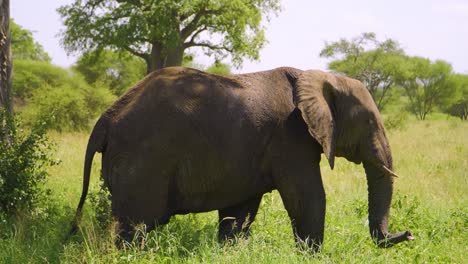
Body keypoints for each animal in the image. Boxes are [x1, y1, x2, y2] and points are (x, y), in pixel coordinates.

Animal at [71, 66, 414, 250]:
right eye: (369, 121)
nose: (409, 234)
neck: (316, 76)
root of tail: (107, 117)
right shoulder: (291, 138)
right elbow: (308, 199)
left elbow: (240, 212)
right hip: (143, 161)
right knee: (135, 225)